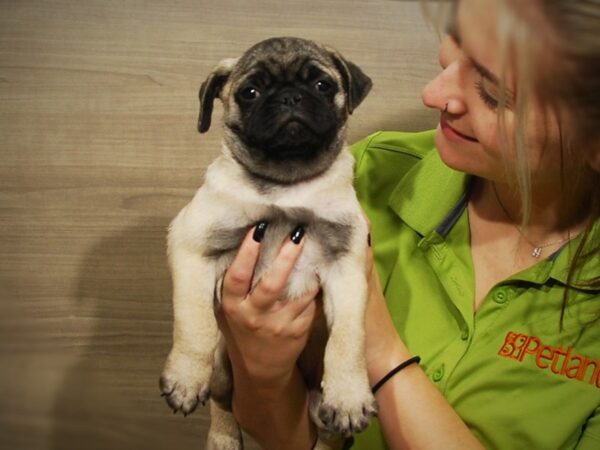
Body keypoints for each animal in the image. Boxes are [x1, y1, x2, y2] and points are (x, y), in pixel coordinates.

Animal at [159, 37, 376, 448]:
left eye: (322, 85)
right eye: (250, 92)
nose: (290, 97)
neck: (287, 183)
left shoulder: (347, 267)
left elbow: (349, 338)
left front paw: (349, 395)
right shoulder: (194, 245)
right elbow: (194, 323)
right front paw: (185, 378)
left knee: (327, 431)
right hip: (223, 367)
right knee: (223, 400)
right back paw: (222, 438)